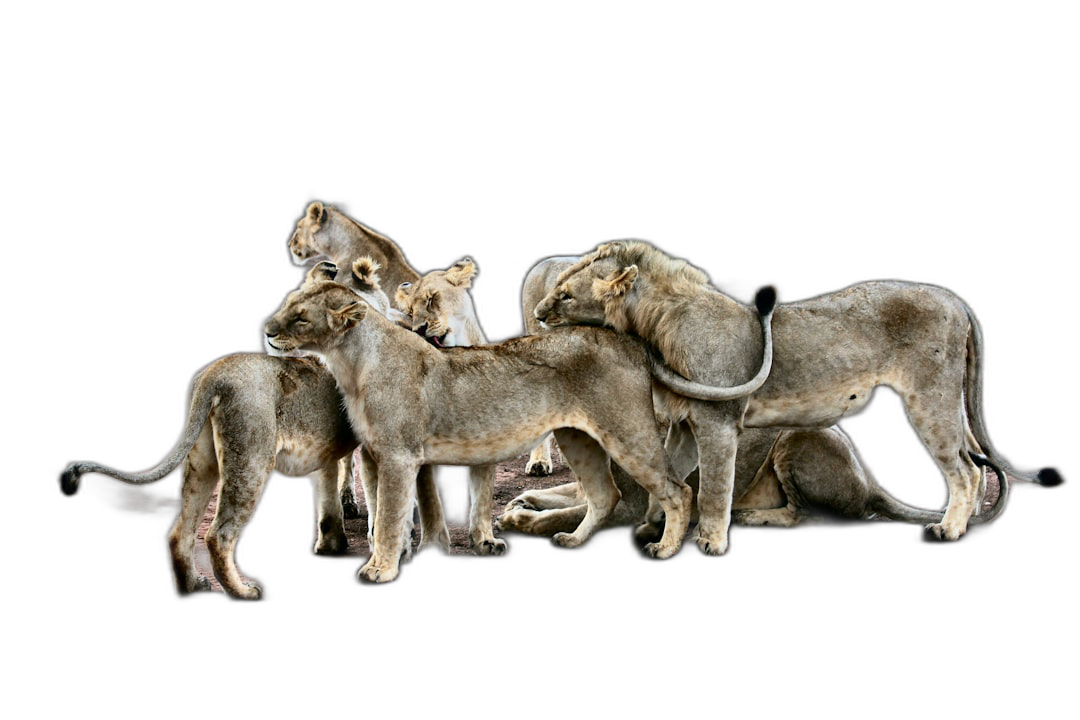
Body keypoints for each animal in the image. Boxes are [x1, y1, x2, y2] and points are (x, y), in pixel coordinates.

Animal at [265, 278, 695, 582]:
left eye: (301, 316)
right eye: (286, 305)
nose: (267, 330)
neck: (351, 363)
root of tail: (628, 340)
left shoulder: (398, 455)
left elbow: (388, 516)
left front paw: (380, 570)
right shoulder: (374, 455)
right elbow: (390, 514)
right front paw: (400, 554)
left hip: (628, 432)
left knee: (678, 490)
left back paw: (665, 549)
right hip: (578, 438)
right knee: (606, 495)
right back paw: (572, 540)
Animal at [533, 239, 1062, 557]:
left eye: (565, 295)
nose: (537, 314)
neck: (653, 326)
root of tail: (953, 298)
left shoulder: (718, 421)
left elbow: (714, 487)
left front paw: (709, 541)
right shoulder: (685, 424)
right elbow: (676, 479)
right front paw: (660, 530)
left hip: (929, 396)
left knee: (966, 470)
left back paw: (950, 530)